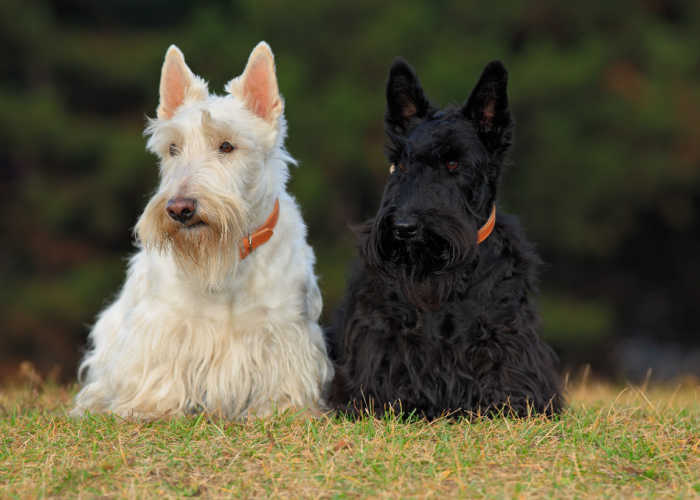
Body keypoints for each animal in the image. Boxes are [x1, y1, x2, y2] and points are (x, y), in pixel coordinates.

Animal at [74, 42, 334, 418]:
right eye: (172, 148)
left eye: (226, 146)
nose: (179, 209)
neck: (229, 260)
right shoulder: (164, 323)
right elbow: (159, 368)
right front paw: (152, 406)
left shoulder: (284, 327)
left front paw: (283, 407)